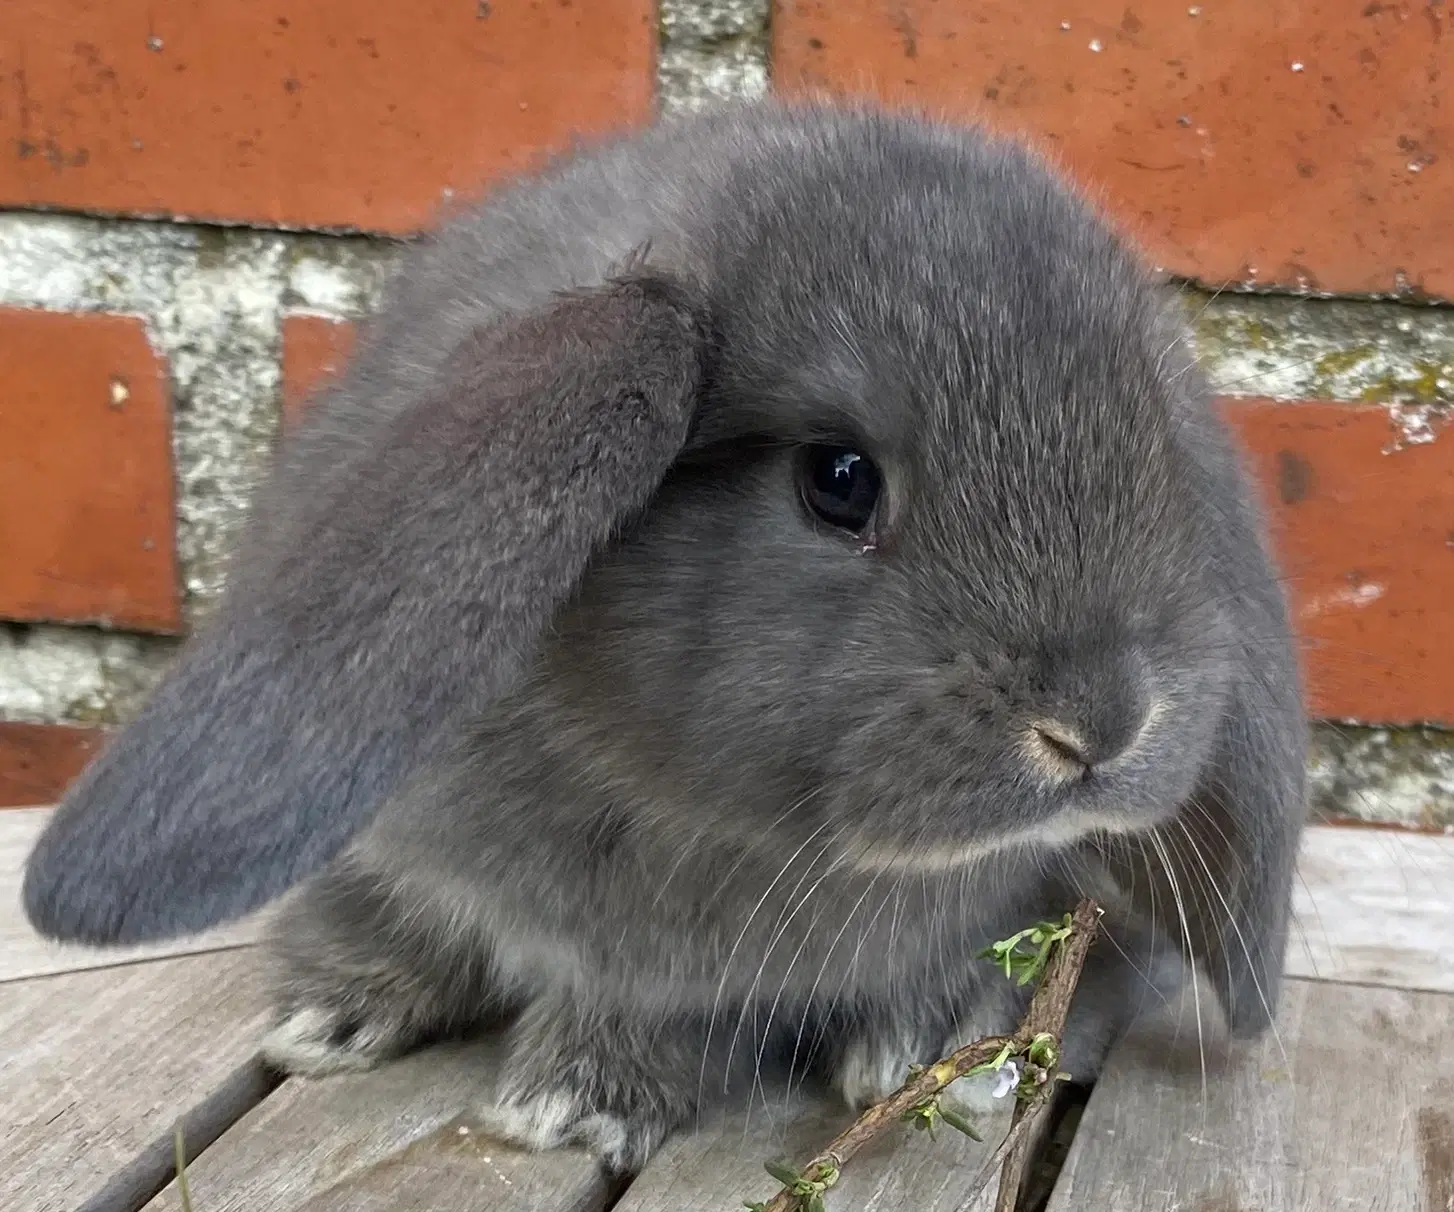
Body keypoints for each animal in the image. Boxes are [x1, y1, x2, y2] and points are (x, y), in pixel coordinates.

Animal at [22, 98, 1308, 1168]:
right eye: (836, 480)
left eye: (1154, 459)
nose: (1100, 725)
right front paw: (326, 1008)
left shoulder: (697, 985)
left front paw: (565, 1106)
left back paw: (920, 1046)